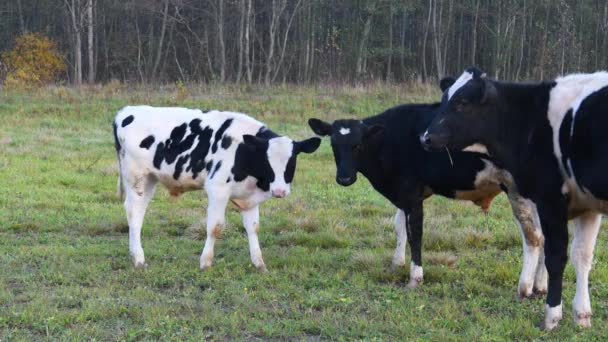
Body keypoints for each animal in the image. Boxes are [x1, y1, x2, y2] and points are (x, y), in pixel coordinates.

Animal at [115, 105, 324, 272]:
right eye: (267, 160)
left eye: (292, 161)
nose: (280, 191)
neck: (243, 151)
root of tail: (125, 111)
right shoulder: (218, 189)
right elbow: (215, 227)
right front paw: (205, 263)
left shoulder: (249, 198)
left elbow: (253, 227)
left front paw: (259, 263)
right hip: (136, 178)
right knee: (133, 212)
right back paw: (138, 259)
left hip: (150, 179)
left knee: (139, 212)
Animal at [308, 95, 548, 296]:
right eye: (333, 144)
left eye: (358, 145)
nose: (344, 178)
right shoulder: (406, 194)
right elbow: (399, 226)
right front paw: (397, 263)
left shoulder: (412, 196)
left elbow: (415, 234)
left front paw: (415, 278)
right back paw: (541, 285)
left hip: (519, 192)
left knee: (533, 237)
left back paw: (525, 287)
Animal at [422, 65, 608, 330]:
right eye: (444, 99)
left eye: (462, 102)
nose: (426, 137)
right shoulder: (588, 206)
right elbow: (582, 256)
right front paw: (582, 315)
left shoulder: (550, 200)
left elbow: (556, 256)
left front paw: (552, 316)